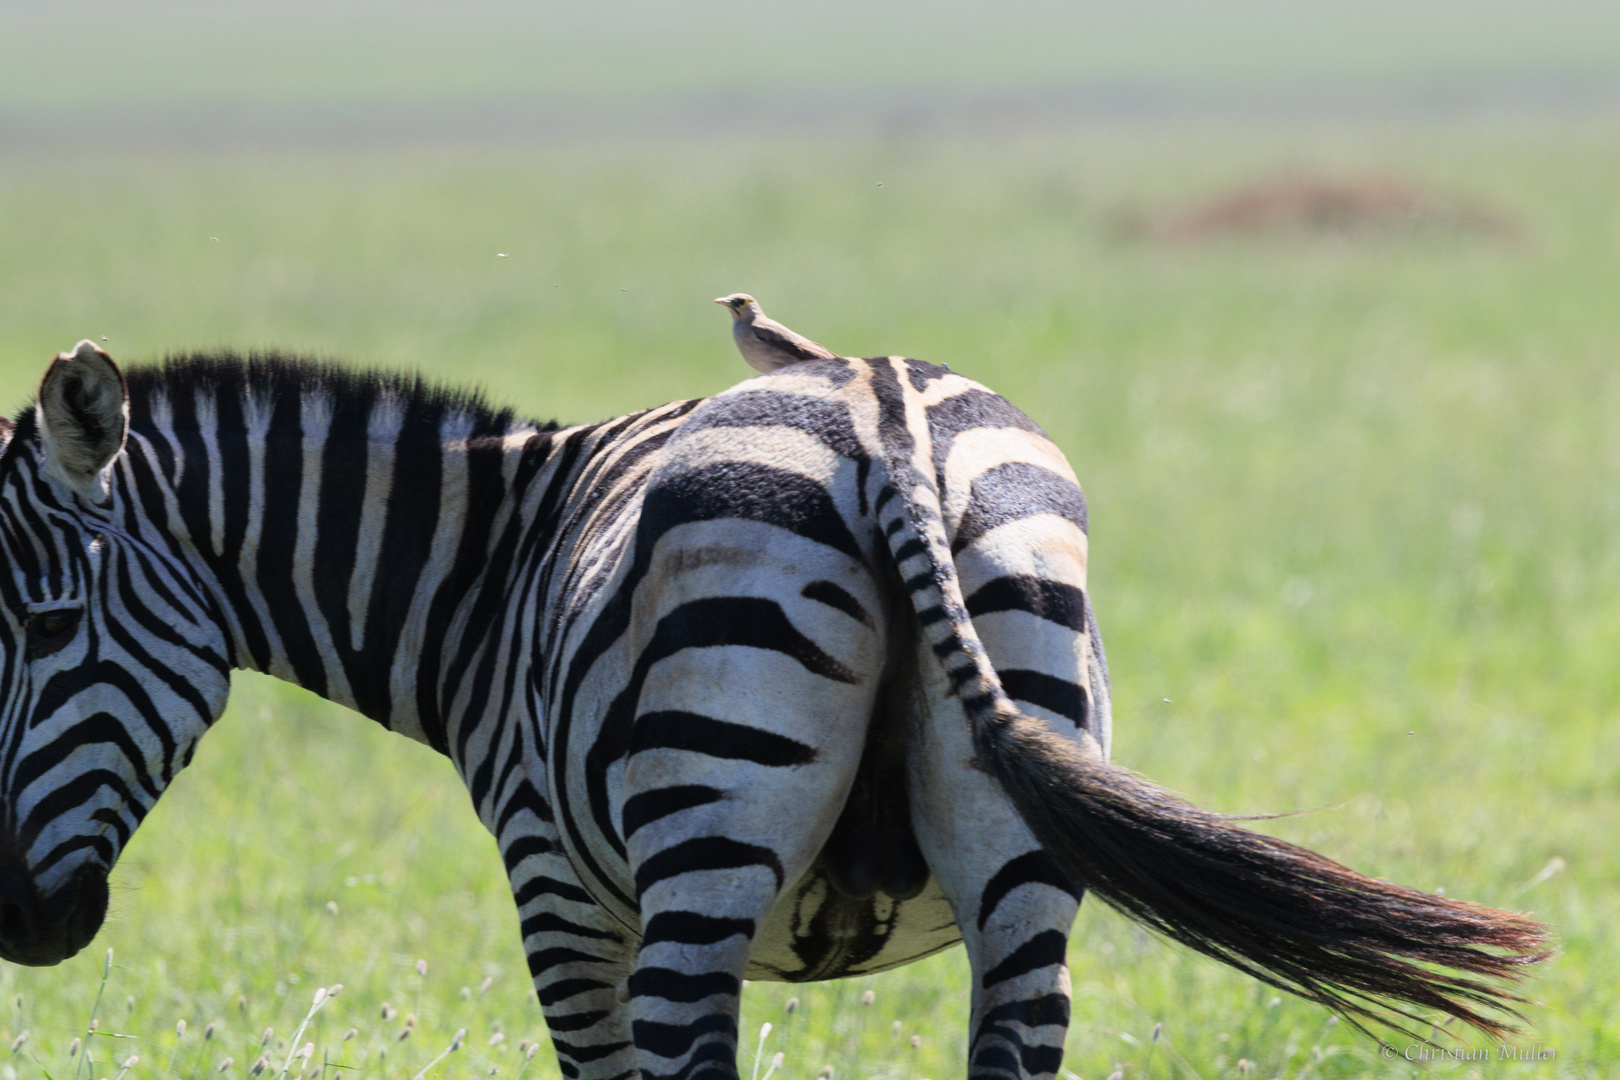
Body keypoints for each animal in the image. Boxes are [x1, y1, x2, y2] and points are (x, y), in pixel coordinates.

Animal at [0, 341, 1542, 1075]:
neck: (488, 568)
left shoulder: (562, 896)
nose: (19, 926)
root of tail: (886, 423)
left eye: (43, 628)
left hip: (700, 852)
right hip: (1023, 857)